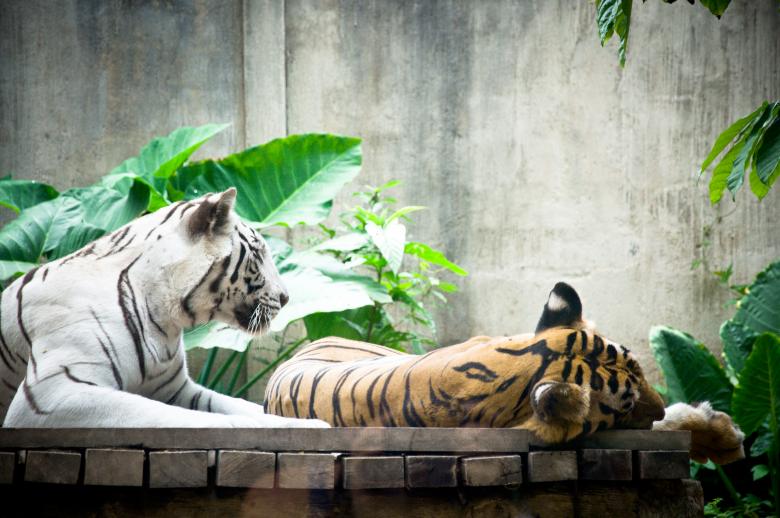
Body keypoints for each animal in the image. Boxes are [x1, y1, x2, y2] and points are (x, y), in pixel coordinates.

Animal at [0, 188, 328, 428]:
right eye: (258, 254)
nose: (285, 297)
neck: (163, 318)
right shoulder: (52, 395)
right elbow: (195, 420)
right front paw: (308, 426)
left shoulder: (176, 389)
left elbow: (243, 406)